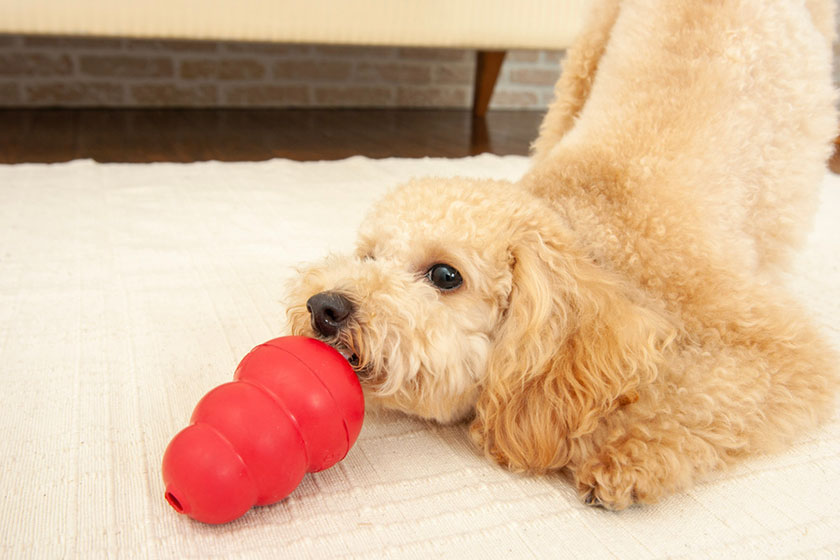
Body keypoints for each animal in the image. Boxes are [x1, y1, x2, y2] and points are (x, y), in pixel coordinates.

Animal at [286, 0, 836, 508]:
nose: (325, 306)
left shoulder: (779, 346)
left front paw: (630, 455)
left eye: (445, 276)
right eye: (369, 256)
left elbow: (708, 395)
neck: (597, 244)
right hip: (583, 61)